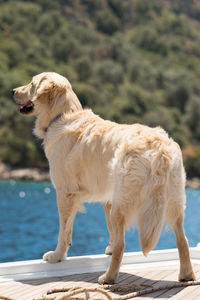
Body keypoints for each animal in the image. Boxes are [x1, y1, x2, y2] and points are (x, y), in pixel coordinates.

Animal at [13, 72, 195, 284]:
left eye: (31, 84)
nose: (13, 91)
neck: (62, 116)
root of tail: (159, 148)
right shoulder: (107, 197)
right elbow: (107, 229)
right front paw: (106, 249)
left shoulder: (65, 193)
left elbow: (64, 231)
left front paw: (56, 256)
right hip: (173, 202)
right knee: (182, 240)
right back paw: (186, 275)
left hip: (123, 202)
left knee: (122, 244)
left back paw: (108, 277)